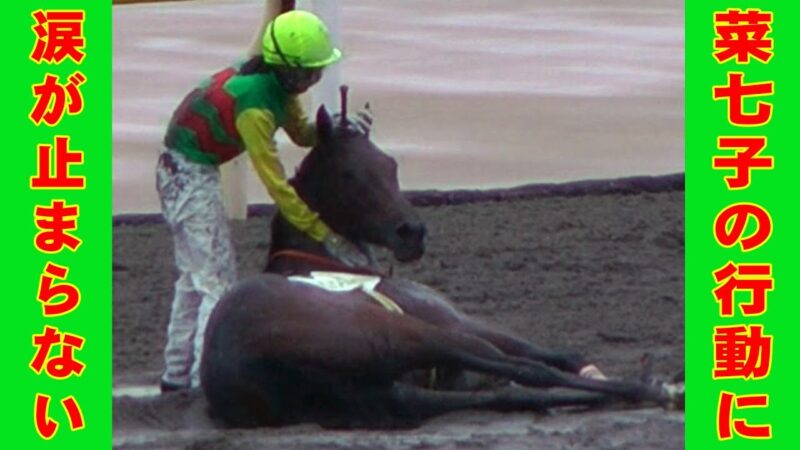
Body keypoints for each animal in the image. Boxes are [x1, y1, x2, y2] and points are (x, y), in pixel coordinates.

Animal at [200, 89, 683, 428]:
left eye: (391, 164)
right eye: (349, 173)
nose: (411, 231)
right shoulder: (457, 321)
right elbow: (543, 355)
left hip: (395, 391)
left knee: (510, 393)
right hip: (410, 334)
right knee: (526, 371)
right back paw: (650, 387)